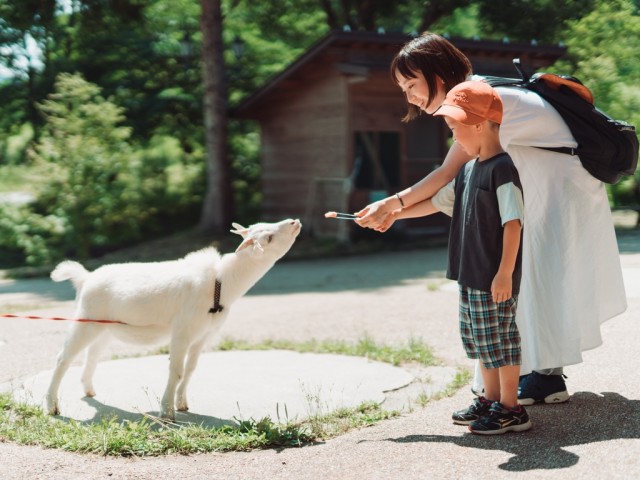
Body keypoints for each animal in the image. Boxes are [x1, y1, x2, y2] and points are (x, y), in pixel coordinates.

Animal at [46, 218, 302, 420]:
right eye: (268, 237)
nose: (294, 222)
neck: (220, 282)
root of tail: (85, 278)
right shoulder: (182, 330)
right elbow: (176, 369)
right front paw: (167, 412)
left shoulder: (203, 334)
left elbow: (190, 369)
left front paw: (182, 404)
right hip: (85, 319)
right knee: (62, 359)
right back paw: (52, 406)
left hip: (104, 327)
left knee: (93, 354)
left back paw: (89, 390)